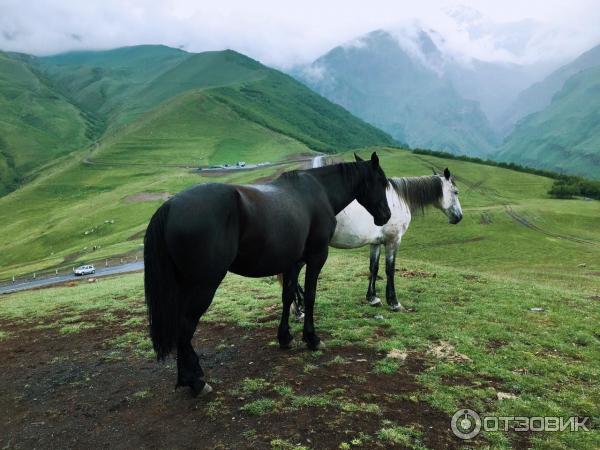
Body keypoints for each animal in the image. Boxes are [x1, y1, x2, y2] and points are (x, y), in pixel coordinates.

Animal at [143, 153, 392, 396]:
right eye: (381, 181)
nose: (386, 215)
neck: (319, 192)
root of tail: (171, 205)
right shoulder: (316, 258)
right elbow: (310, 296)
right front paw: (312, 338)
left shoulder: (292, 263)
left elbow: (288, 296)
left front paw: (285, 337)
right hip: (204, 285)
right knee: (186, 326)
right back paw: (195, 382)